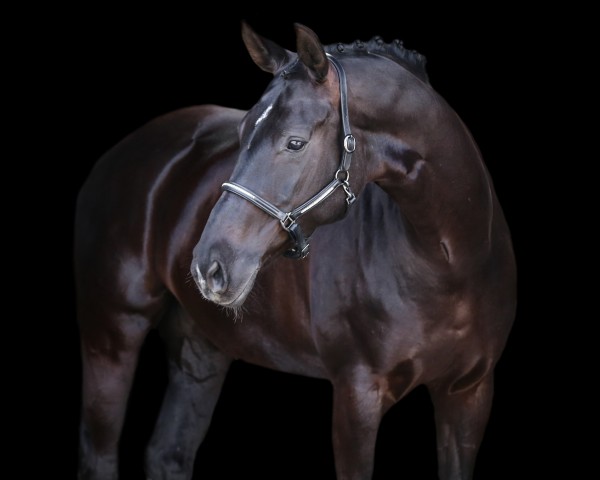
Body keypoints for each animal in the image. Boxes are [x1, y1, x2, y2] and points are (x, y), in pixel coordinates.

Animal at [75, 21, 516, 480]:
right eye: (242, 134)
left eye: (295, 143)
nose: (209, 267)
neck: (448, 264)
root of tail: (120, 154)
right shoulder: (357, 395)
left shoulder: (469, 394)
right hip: (112, 335)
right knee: (99, 452)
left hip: (200, 349)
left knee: (168, 453)